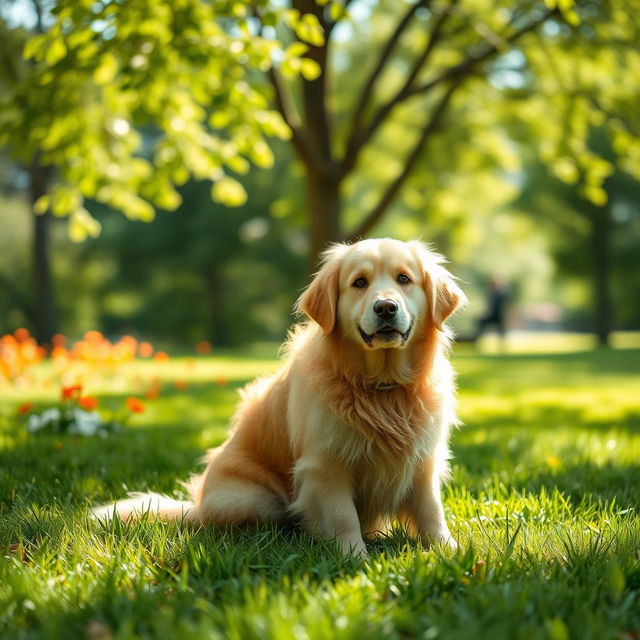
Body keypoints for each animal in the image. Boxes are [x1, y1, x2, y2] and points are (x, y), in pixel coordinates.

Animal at [94, 240, 464, 556]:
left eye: (404, 279)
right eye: (359, 282)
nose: (385, 307)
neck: (382, 389)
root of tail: (197, 506)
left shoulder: (423, 461)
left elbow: (431, 511)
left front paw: (449, 551)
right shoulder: (325, 466)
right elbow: (343, 517)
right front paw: (354, 558)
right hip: (256, 500)